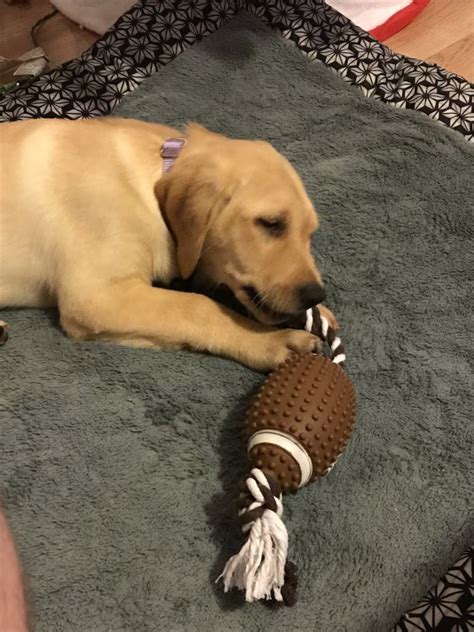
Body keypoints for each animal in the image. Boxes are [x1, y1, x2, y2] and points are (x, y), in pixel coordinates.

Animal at [0, 118, 336, 370]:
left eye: (310, 233)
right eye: (271, 223)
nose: (314, 294)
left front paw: (319, 313)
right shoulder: (97, 297)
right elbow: (198, 306)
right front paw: (270, 341)